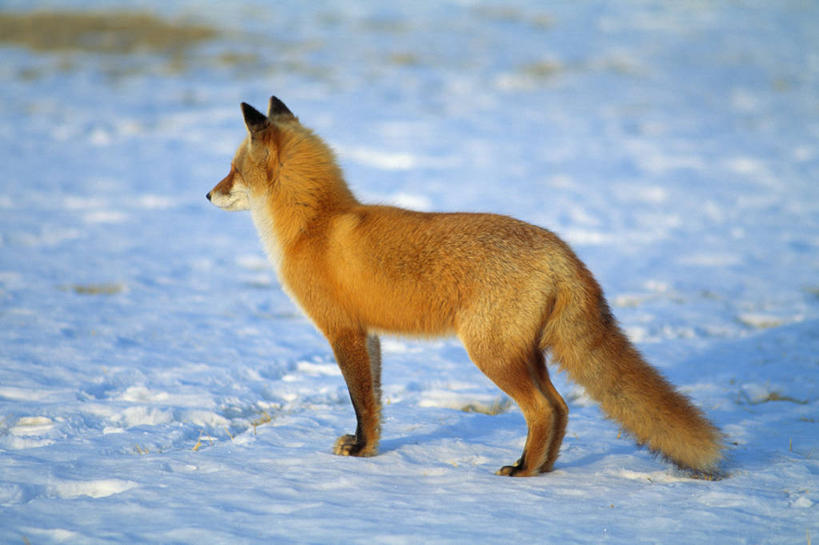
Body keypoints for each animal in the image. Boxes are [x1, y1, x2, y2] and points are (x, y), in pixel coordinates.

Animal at [207, 96, 724, 476]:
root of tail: (561, 250)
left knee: (542, 409)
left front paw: (357, 452)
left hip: (490, 354)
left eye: (233, 169)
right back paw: (541, 467)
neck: (315, 223)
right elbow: (373, 405)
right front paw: (368, 450)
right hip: (524, 352)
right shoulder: (369, 334)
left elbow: (358, 398)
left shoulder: (343, 332)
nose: (208, 194)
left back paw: (523, 470)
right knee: (560, 407)